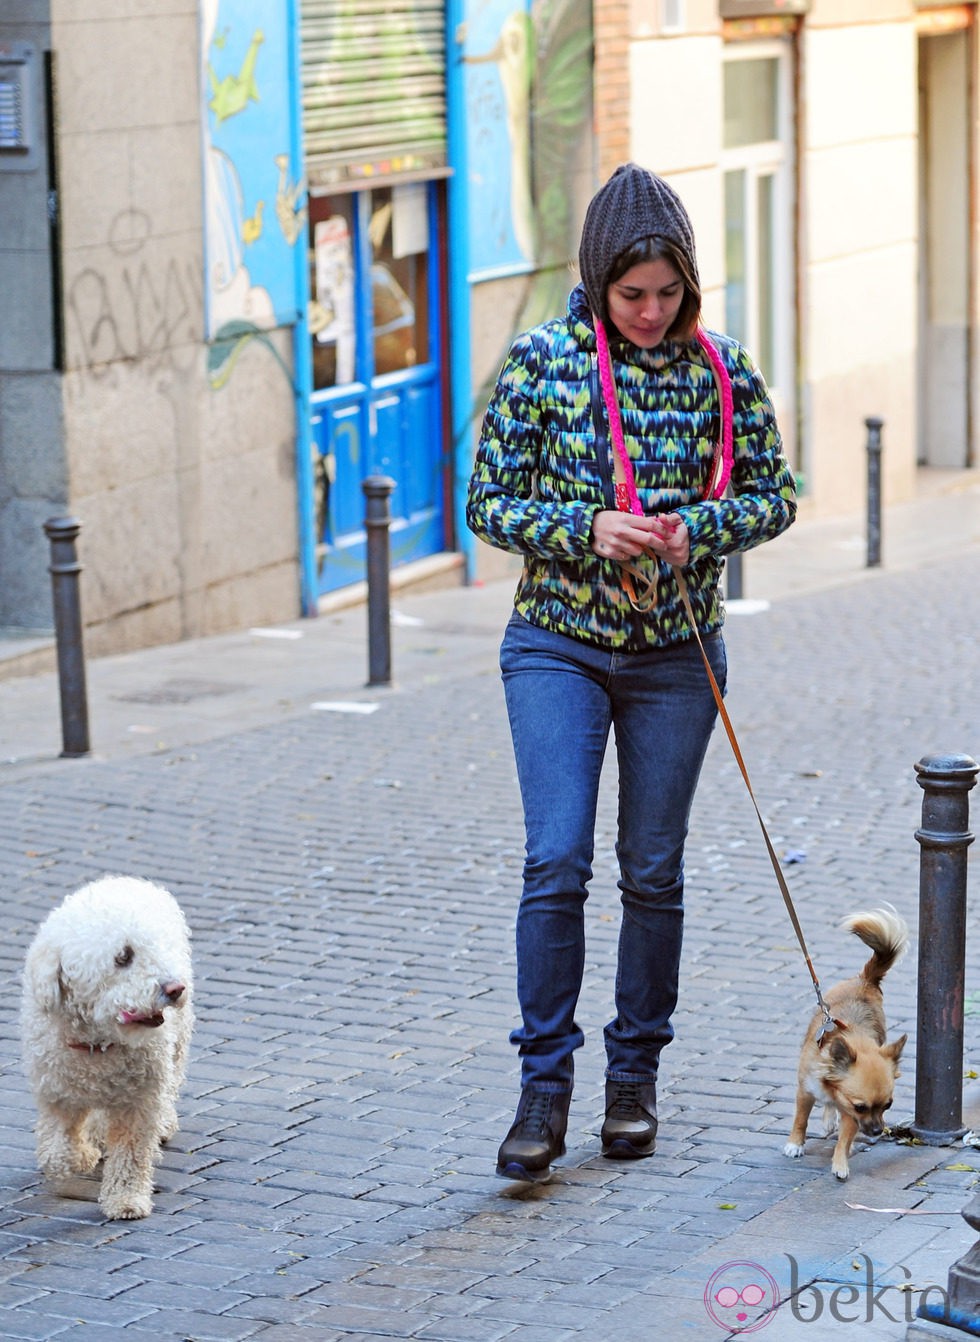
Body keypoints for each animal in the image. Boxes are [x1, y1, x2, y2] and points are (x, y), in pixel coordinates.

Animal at [20, 874, 193, 1223]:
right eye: (123, 956)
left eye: (154, 950)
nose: (175, 988)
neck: (96, 1044)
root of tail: (125, 880)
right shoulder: (55, 1091)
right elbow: (56, 1150)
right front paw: (82, 1155)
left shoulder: (140, 1100)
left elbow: (131, 1154)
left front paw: (125, 1200)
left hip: (178, 1042)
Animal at [778, 907, 907, 1180]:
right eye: (861, 1107)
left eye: (888, 1105)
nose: (877, 1131)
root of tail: (865, 980)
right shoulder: (806, 1091)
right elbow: (800, 1119)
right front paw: (795, 1144)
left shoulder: (848, 1114)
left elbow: (845, 1139)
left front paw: (840, 1164)